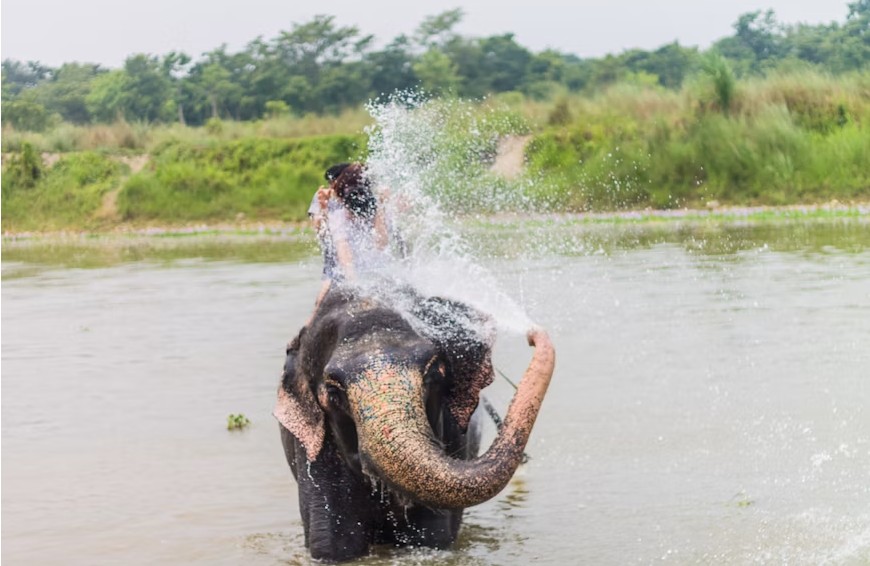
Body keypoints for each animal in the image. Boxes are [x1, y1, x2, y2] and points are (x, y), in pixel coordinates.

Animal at [273, 283, 555, 562]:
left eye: (433, 373)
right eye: (333, 392)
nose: (532, 335)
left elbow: (432, 537)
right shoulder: (315, 449)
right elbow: (333, 546)